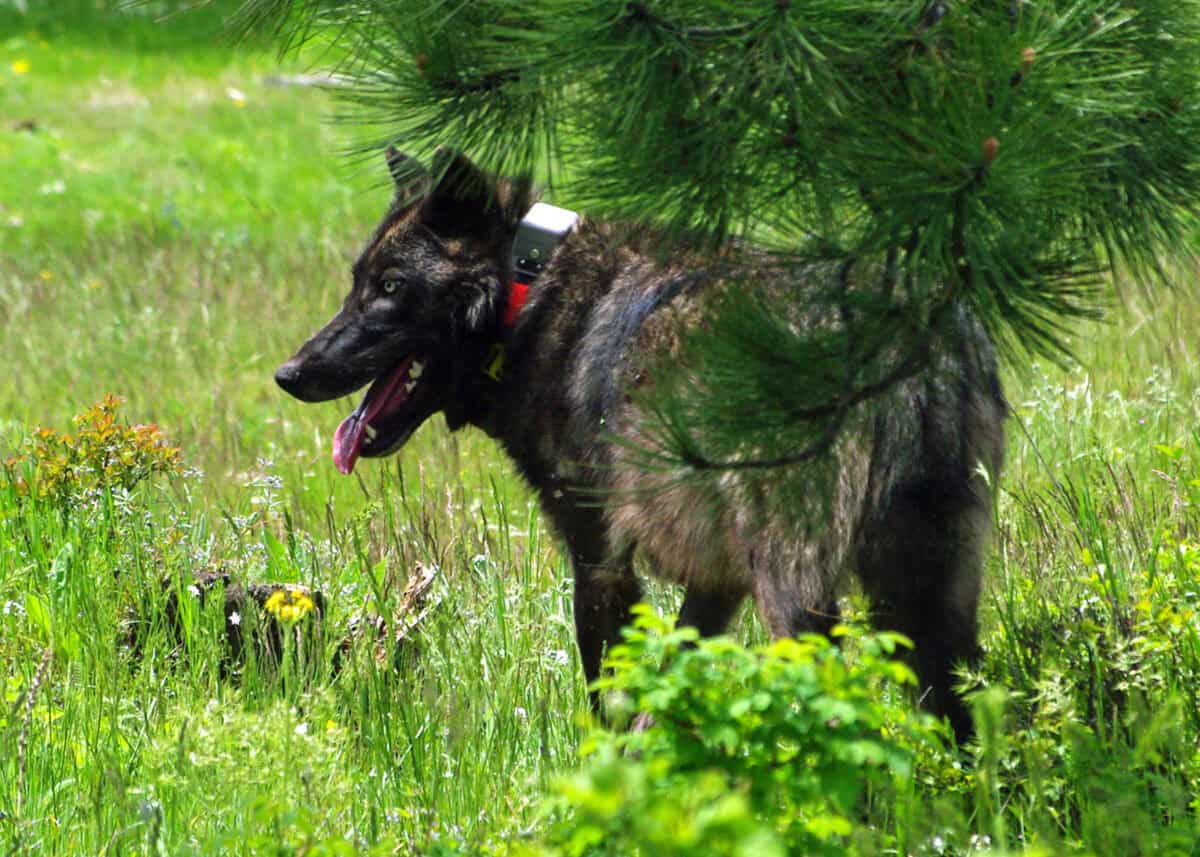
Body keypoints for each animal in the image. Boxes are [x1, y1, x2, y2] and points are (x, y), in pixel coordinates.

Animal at [275, 149, 1007, 740]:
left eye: (391, 287)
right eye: (356, 282)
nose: (290, 373)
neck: (531, 292)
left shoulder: (598, 557)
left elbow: (609, 695)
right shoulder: (716, 580)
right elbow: (671, 680)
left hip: (802, 598)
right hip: (927, 604)